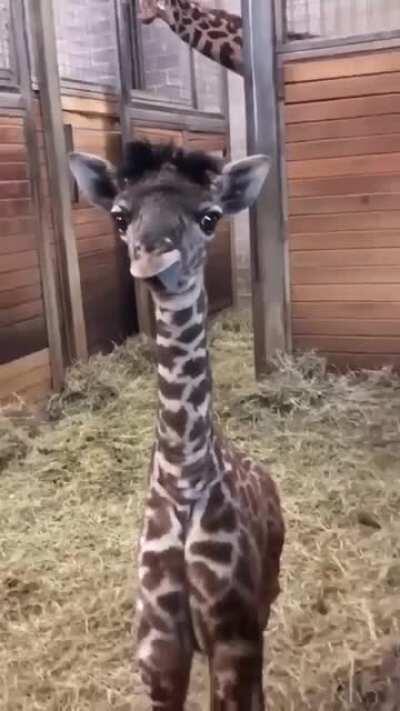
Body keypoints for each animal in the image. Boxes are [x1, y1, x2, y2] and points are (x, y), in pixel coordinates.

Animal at [69, 140, 285, 710]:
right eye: (120, 216)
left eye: (210, 217)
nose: (154, 264)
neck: (183, 477)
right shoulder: (159, 649)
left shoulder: (233, 633)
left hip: (265, 596)